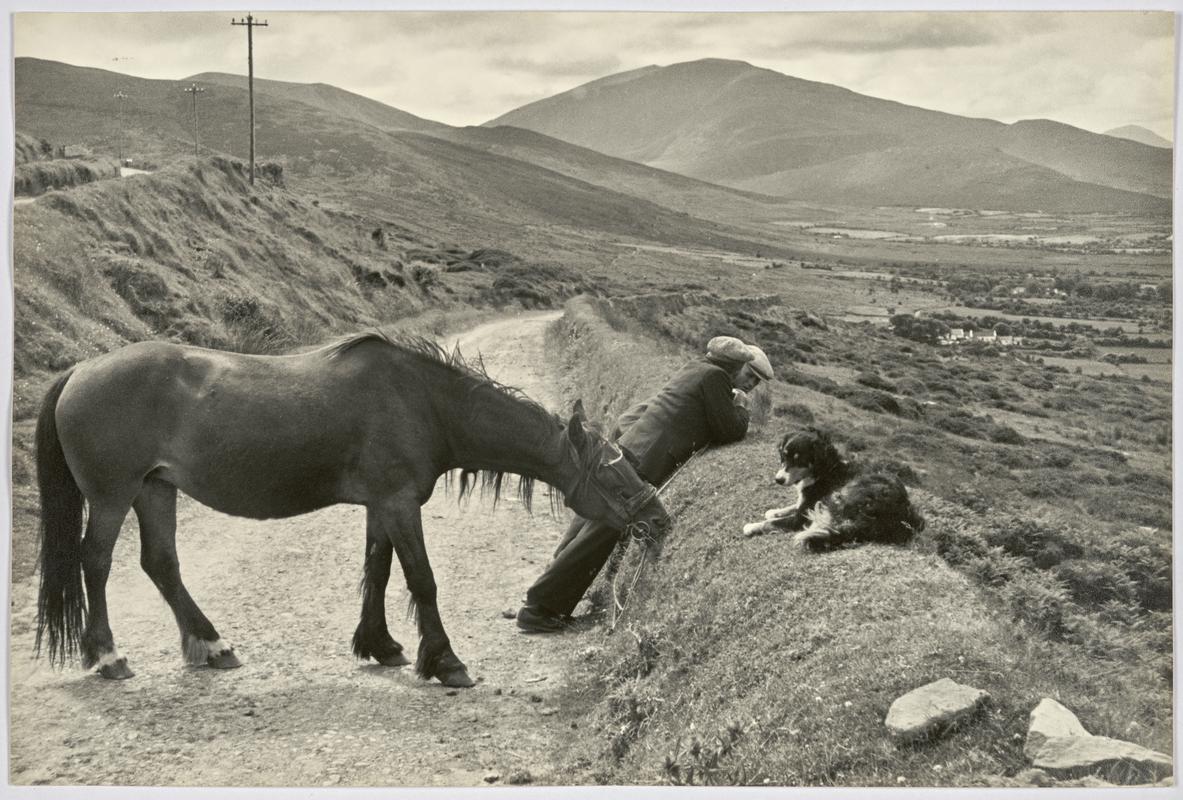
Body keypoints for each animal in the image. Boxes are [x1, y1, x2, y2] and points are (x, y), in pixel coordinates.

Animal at [34, 328, 667, 686]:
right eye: (612, 475)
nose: (658, 520)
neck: (425, 403)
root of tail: (80, 371)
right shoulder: (399, 503)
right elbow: (421, 579)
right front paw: (446, 662)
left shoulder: (381, 506)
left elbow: (378, 572)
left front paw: (380, 646)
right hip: (114, 496)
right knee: (96, 562)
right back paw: (107, 657)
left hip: (155, 489)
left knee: (161, 564)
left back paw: (212, 646)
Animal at [738, 426, 922, 549]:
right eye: (784, 455)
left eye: (799, 459)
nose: (778, 480)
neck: (826, 469)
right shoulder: (806, 502)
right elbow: (792, 506)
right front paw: (774, 511)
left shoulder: (801, 516)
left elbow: (773, 523)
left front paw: (752, 526)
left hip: (844, 493)